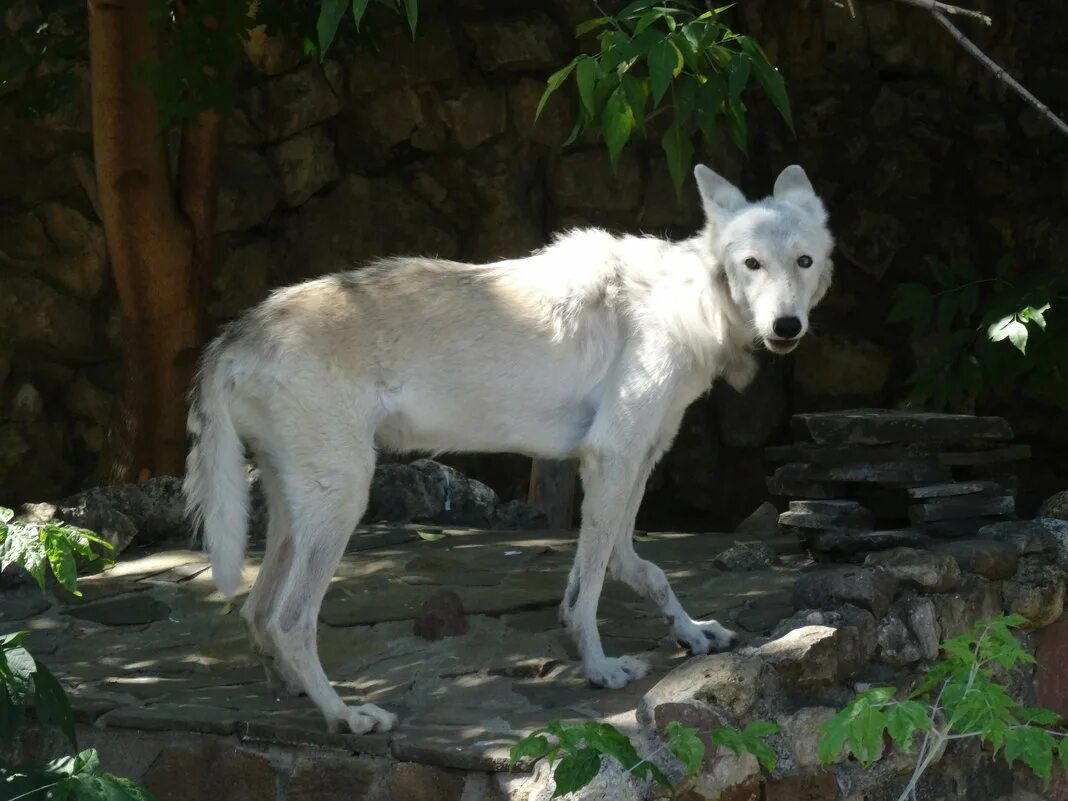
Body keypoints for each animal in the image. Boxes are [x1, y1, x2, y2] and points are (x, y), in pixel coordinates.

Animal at [183, 166, 833, 739]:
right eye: (751, 264)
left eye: (803, 261)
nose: (787, 326)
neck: (689, 302)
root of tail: (235, 333)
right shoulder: (613, 458)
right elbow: (586, 590)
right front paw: (600, 669)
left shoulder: (637, 461)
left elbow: (635, 566)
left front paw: (693, 633)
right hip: (342, 502)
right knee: (290, 620)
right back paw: (345, 716)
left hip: (296, 512)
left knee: (256, 612)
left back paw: (294, 692)